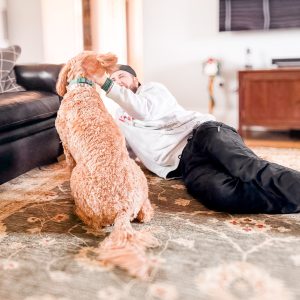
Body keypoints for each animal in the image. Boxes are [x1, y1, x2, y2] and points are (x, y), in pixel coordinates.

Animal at [55, 51, 161, 278]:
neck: (83, 88)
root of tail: (122, 210)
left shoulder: (66, 147)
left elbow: (67, 165)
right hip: (138, 177)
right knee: (146, 212)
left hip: (80, 179)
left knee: (93, 221)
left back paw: (77, 210)